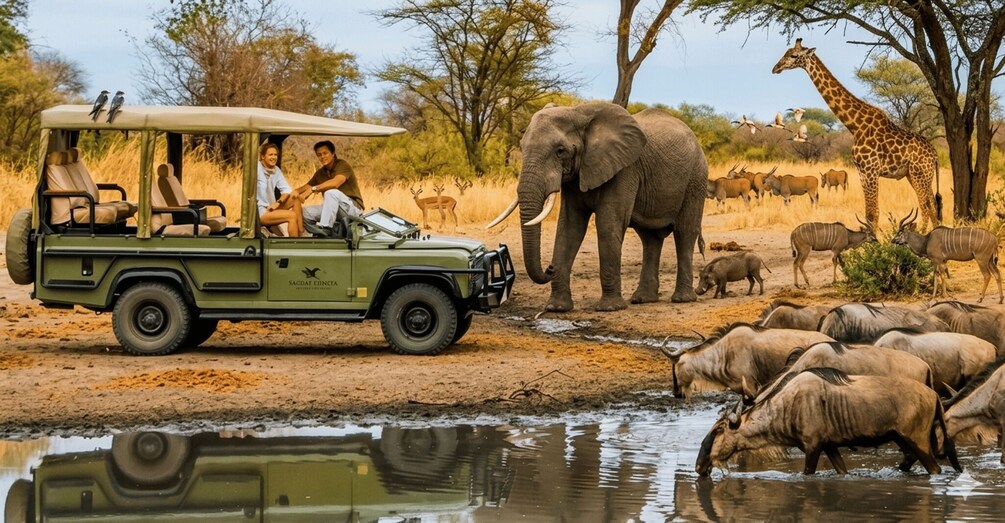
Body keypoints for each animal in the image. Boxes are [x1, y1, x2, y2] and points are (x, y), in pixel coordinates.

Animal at [488, 102, 708, 311]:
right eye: (522, 146)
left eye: (560, 151)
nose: (549, 268)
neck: (579, 113)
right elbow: (569, 228)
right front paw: (556, 308)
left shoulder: (625, 169)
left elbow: (608, 225)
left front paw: (610, 308)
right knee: (649, 238)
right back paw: (643, 299)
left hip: (696, 179)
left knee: (684, 233)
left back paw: (682, 299)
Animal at [772, 39, 942, 229]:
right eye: (786, 52)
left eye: (794, 55)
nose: (776, 68)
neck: (855, 125)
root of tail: (935, 155)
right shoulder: (862, 172)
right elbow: (869, 213)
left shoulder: (870, 170)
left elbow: (873, 214)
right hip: (914, 175)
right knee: (931, 206)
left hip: (920, 174)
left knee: (927, 207)